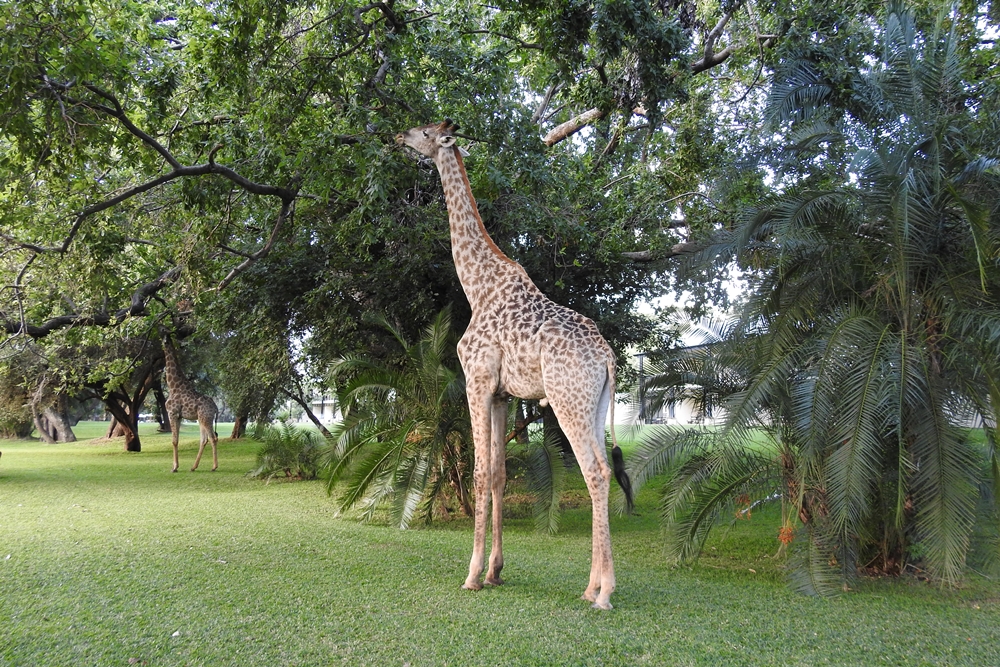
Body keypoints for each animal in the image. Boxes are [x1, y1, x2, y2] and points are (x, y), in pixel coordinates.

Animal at [161, 336, 218, 472]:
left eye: (163, 339)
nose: (163, 344)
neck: (172, 386)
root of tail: (216, 408)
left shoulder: (172, 413)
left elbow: (174, 440)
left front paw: (174, 468)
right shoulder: (179, 416)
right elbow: (177, 440)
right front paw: (176, 466)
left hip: (206, 418)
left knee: (213, 438)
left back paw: (214, 467)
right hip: (201, 419)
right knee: (204, 440)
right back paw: (193, 467)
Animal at [392, 120, 632, 612]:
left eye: (424, 131)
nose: (398, 138)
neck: (477, 285)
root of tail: (607, 357)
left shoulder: (477, 380)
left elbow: (480, 473)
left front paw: (471, 575)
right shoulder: (503, 394)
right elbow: (500, 474)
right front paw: (495, 571)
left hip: (567, 400)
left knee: (595, 472)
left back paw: (603, 592)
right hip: (595, 404)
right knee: (601, 467)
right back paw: (589, 586)